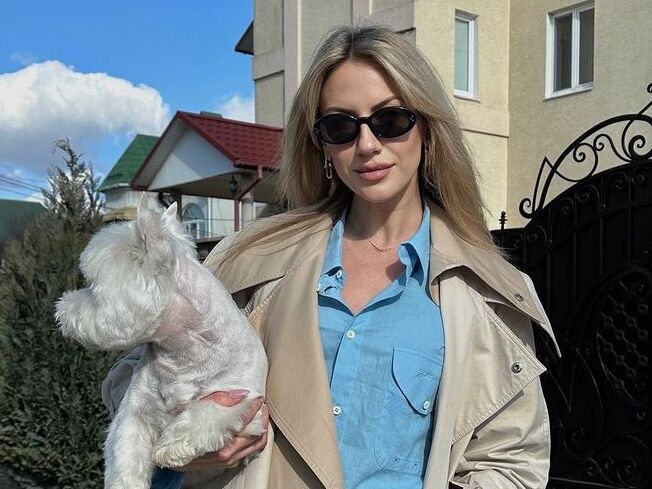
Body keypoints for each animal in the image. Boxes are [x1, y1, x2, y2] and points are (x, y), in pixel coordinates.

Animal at [55, 196, 268, 489]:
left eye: (93, 287)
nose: (61, 308)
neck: (183, 353)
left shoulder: (246, 403)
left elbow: (207, 414)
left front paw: (171, 446)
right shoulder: (134, 411)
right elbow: (125, 456)